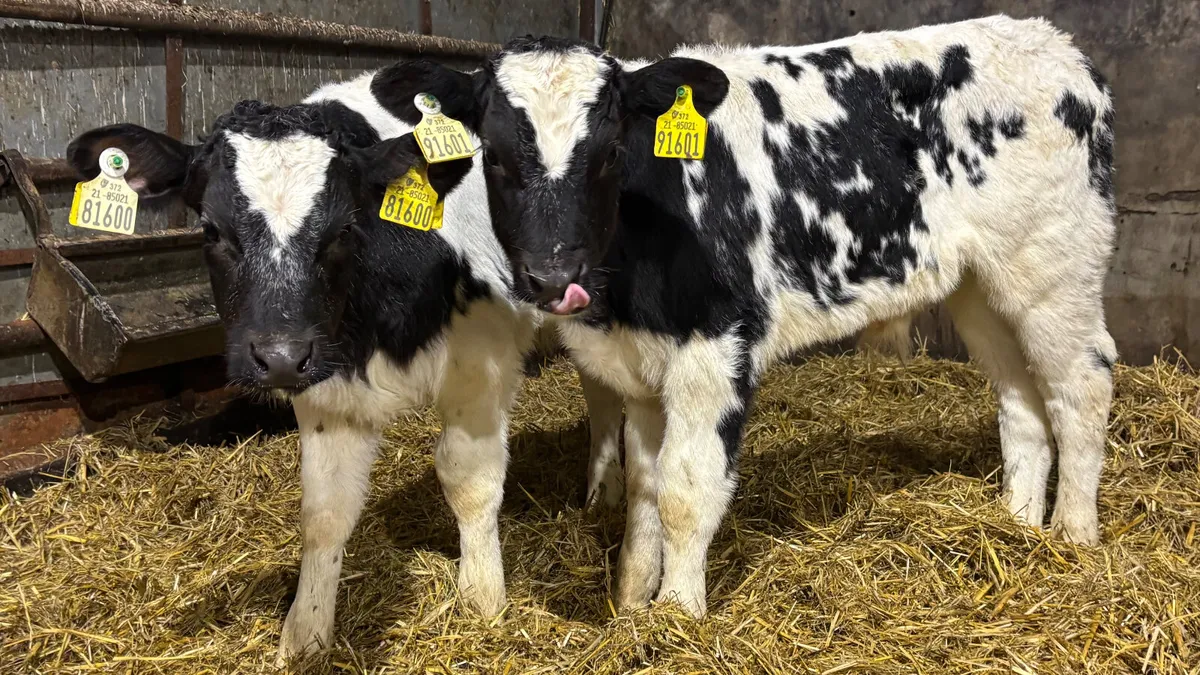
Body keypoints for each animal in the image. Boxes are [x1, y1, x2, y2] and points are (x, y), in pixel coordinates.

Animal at [66, 64, 625, 662]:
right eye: (211, 231)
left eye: (344, 229)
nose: (278, 357)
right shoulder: (323, 382)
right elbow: (325, 512)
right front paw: (304, 634)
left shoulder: (483, 363)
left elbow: (468, 481)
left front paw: (481, 601)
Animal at [399, 14, 1119, 617]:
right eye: (494, 157)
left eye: (610, 153)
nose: (552, 277)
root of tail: (1056, 43)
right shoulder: (639, 368)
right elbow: (647, 491)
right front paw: (632, 603)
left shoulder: (716, 346)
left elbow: (687, 490)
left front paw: (677, 616)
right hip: (982, 284)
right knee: (1021, 398)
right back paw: (1018, 524)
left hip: (1055, 266)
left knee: (1082, 386)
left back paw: (1073, 537)